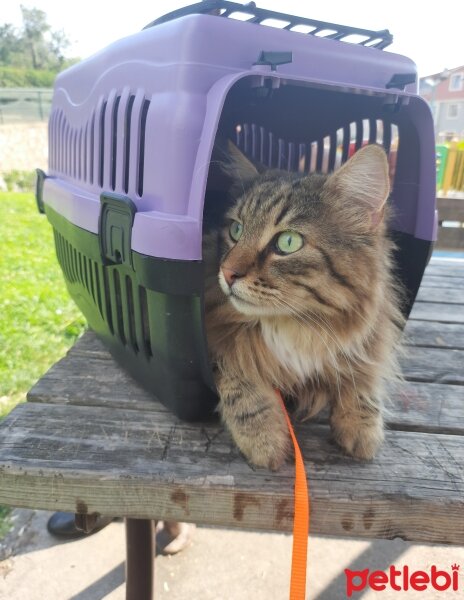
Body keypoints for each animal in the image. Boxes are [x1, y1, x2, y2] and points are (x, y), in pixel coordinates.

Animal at [202, 143, 402, 472]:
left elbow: (363, 381)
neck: (296, 325)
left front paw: (363, 429)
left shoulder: (370, 339)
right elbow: (241, 380)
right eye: (236, 230)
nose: (227, 273)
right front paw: (265, 440)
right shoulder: (211, 343)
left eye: (288, 242)